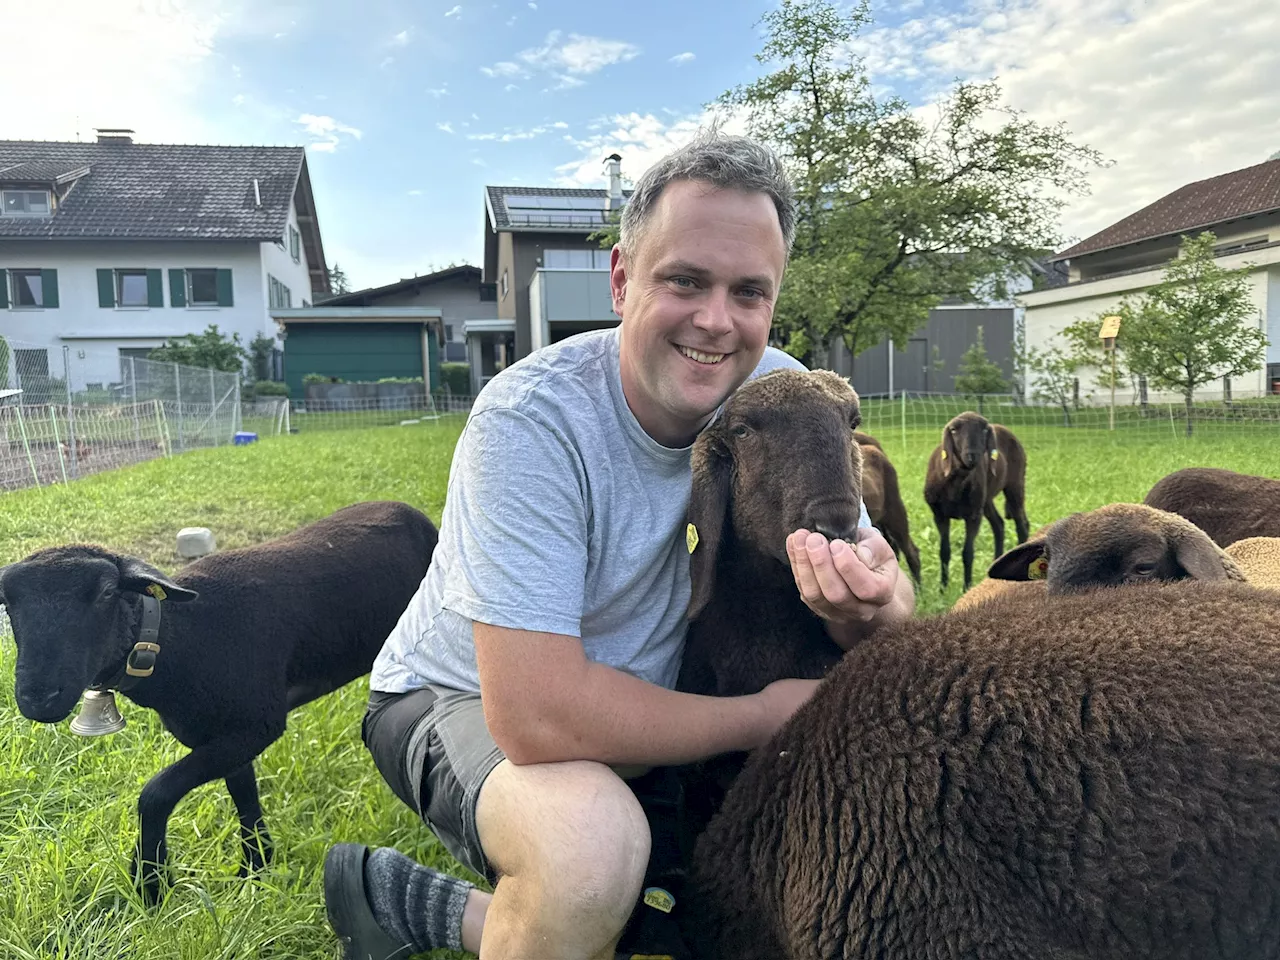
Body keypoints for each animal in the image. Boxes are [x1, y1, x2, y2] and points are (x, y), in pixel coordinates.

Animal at [921, 409, 1029, 591]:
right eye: (954, 430)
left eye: (984, 430)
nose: (972, 456)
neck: (955, 483)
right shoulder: (939, 515)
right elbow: (944, 551)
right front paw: (943, 587)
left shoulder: (973, 516)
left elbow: (968, 553)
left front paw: (966, 587)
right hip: (986, 500)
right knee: (999, 524)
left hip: (1014, 485)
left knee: (1022, 526)